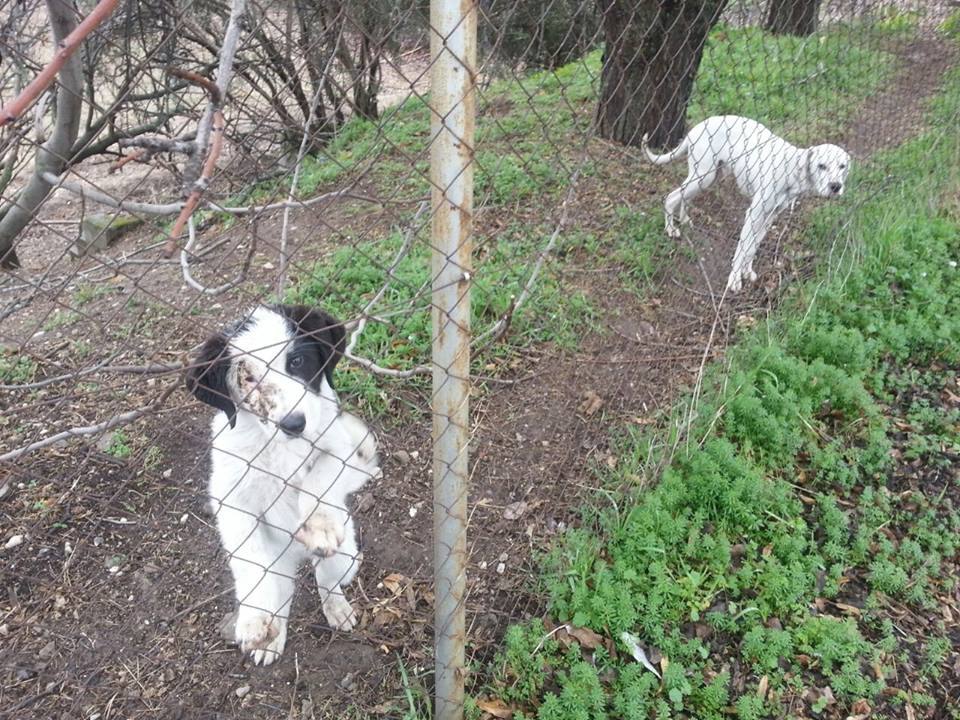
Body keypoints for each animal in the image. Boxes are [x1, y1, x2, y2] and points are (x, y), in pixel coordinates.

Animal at [186, 302, 380, 664]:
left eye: (297, 362)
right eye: (248, 377)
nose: (294, 424)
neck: (279, 446)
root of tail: (297, 558)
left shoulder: (337, 450)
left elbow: (317, 482)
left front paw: (319, 526)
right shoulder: (230, 498)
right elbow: (249, 560)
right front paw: (254, 620)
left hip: (342, 558)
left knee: (326, 579)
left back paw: (336, 607)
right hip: (278, 567)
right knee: (281, 596)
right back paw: (270, 635)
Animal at [640, 115, 852, 290]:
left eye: (842, 166)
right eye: (821, 166)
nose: (836, 186)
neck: (791, 169)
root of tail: (698, 126)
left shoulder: (769, 218)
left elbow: (752, 248)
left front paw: (747, 272)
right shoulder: (754, 214)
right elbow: (742, 249)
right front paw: (734, 280)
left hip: (707, 178)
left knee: (683, 198)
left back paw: (683, 220)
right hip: (703, 176)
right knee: (671, 198)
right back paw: (670, 229)